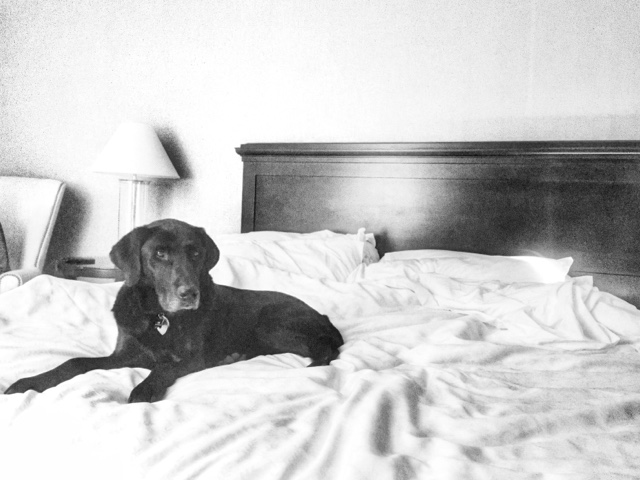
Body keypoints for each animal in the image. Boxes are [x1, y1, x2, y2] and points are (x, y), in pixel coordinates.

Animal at [5, 219, 343, 403]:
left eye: (195, 253)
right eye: (159, 254)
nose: (189, 294)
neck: (158, 314)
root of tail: (323, 316)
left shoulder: (191, 357)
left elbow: (164, 367)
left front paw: (143, 390)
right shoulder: (125, 353)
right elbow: (75, 362)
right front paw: (28, 382)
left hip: (273, 324)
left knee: (326, 348)